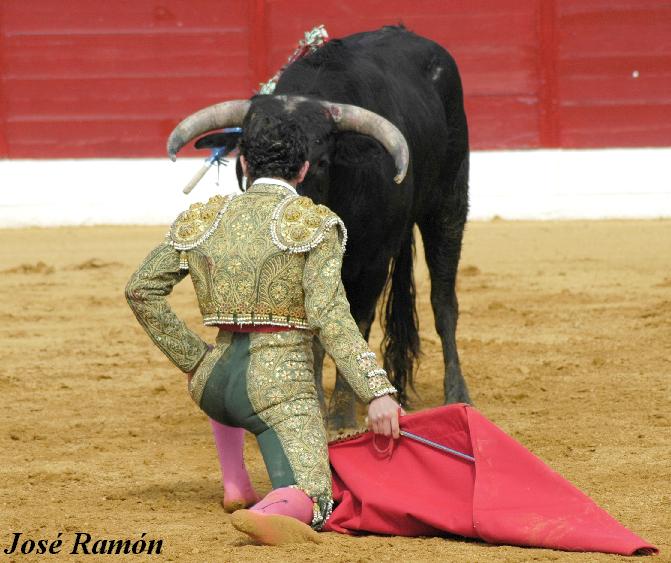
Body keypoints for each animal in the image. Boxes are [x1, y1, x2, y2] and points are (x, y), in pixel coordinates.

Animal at [168, 23, 472, 428]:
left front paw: (341, 416)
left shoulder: (373, 261)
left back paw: (458, 392)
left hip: (449, 202)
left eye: (322, 160)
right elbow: (312, 331)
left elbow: (355, 322)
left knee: (443, 299)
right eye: (246, 156)